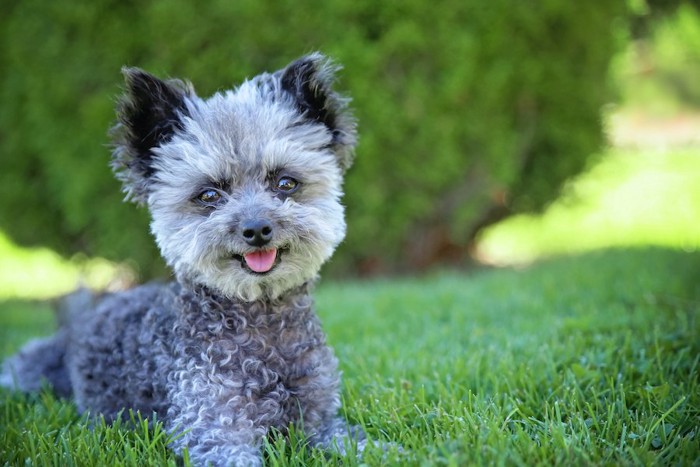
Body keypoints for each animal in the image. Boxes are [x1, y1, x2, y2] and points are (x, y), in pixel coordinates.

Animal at [1, 53, 366, 466]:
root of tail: (82, 319)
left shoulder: (320, 423)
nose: (257, 228)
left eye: (285, 183)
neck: (262, 327)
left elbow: (361, 443)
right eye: (209, 195)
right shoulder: (211, 428)